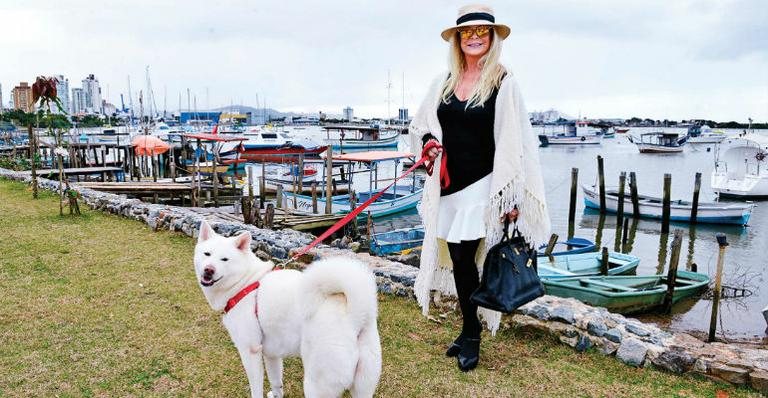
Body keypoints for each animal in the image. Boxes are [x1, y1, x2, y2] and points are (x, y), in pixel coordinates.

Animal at [195, 221, 380, 398]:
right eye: (207, 254)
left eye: (225, 259)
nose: (209, 270)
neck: (244, 283)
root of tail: (354, 317)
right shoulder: (271, 353)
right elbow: (276, 382)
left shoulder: (250, 351)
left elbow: (256, 388)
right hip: (363, 385)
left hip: (316, 384)